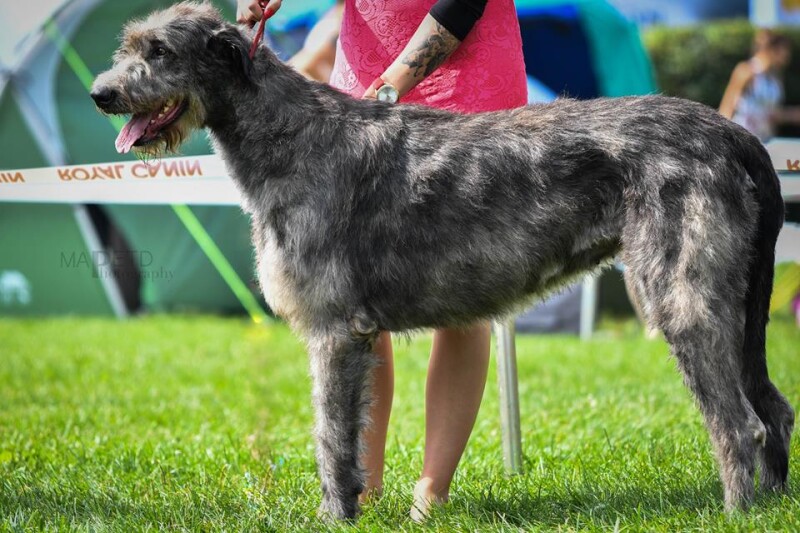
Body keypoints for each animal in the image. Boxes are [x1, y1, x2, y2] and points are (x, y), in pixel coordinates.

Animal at [94, 2, 792, 516]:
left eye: (160, 51)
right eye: (126, 45)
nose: (102, 93)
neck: (288, 135)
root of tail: (732, 132)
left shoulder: (333, 330)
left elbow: (329, 435)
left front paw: (333, 516)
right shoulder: (358, 333)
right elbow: (353, 434)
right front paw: (358, 508)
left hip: (683, 295)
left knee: (740, 425)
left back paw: (737, 513)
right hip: (734, 300)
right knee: (775, 410)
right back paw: (774, 503)